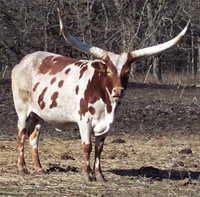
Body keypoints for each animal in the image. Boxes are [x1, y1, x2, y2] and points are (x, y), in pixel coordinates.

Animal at [11, 9, 190, 182]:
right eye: (108, 71)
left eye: (127, 71)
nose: (118, 91)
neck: (106, 103)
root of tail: (23, 61)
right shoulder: (84, 120)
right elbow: (87, 146)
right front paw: (86, 175)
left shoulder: (106, 124)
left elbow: (99, 149)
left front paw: (99, 175)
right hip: (22, 110)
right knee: (21, 133)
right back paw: (21, 168)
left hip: (38, 114)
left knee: (33, 136)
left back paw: (39, 168)